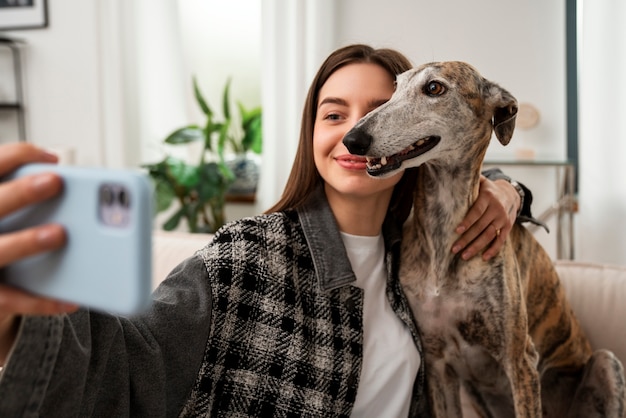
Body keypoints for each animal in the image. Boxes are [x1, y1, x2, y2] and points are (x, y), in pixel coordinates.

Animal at [344, 62, 620, 418]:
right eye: (394, 88)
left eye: (434, 88)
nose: (352, 139)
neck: (443, 233)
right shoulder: (437, 363)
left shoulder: (520, 362)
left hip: (606, 363)